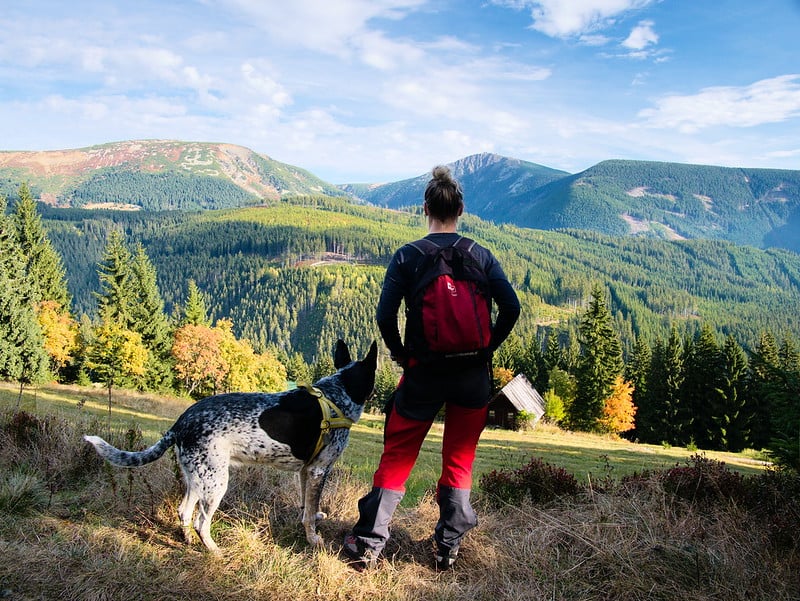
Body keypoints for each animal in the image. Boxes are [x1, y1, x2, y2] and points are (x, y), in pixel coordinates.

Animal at [84, 340, 378, 552]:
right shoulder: (318, 470)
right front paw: (313, 539)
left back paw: (187, 540)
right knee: (202, 522)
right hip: (216, 483)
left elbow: (307, 507)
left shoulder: (305, 471)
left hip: (197, 478)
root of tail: (179, 424)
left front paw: (313, 519)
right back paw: (213, 550)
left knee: (184, 512)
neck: (337, 395)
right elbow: (308, 514)